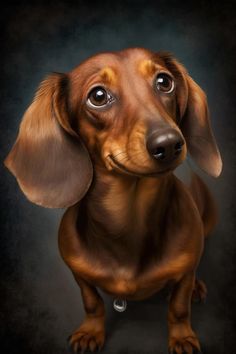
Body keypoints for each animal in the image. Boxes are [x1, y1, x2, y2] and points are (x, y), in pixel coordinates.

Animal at [5, 47, 223, 354]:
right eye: (98, 96)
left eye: (164, 81)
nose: (169, 143)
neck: (128, 221)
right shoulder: (79, 275)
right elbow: (92, 303)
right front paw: (90, 332)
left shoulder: (184, 271)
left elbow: (178, 308)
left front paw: (182, 338)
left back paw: (197, 287)